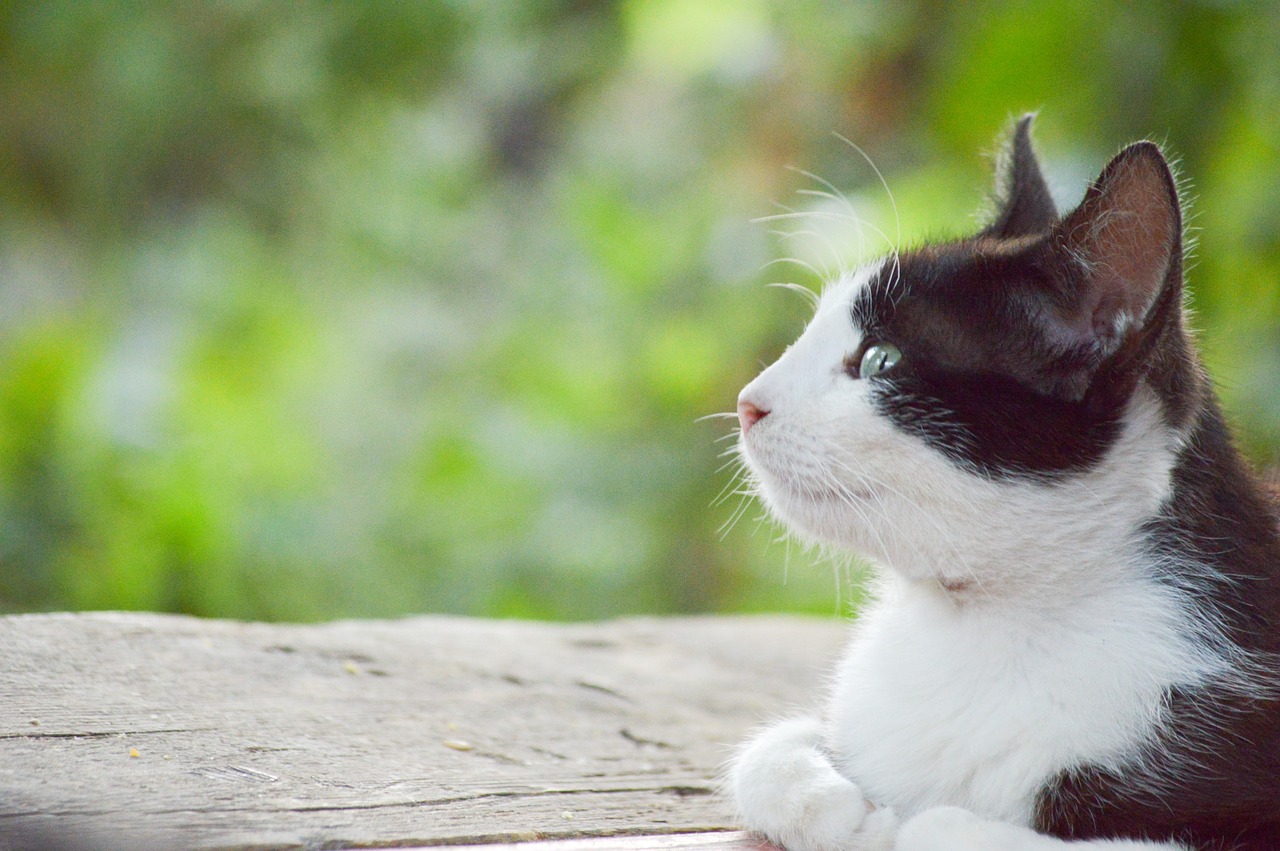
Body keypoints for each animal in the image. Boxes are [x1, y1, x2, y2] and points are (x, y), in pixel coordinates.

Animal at [727, 117, 1280, 849]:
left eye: (880, 360)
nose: (748, 403)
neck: (979, 621)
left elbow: (943, 827)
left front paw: (914, 821)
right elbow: (768, 750)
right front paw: (835, 803)